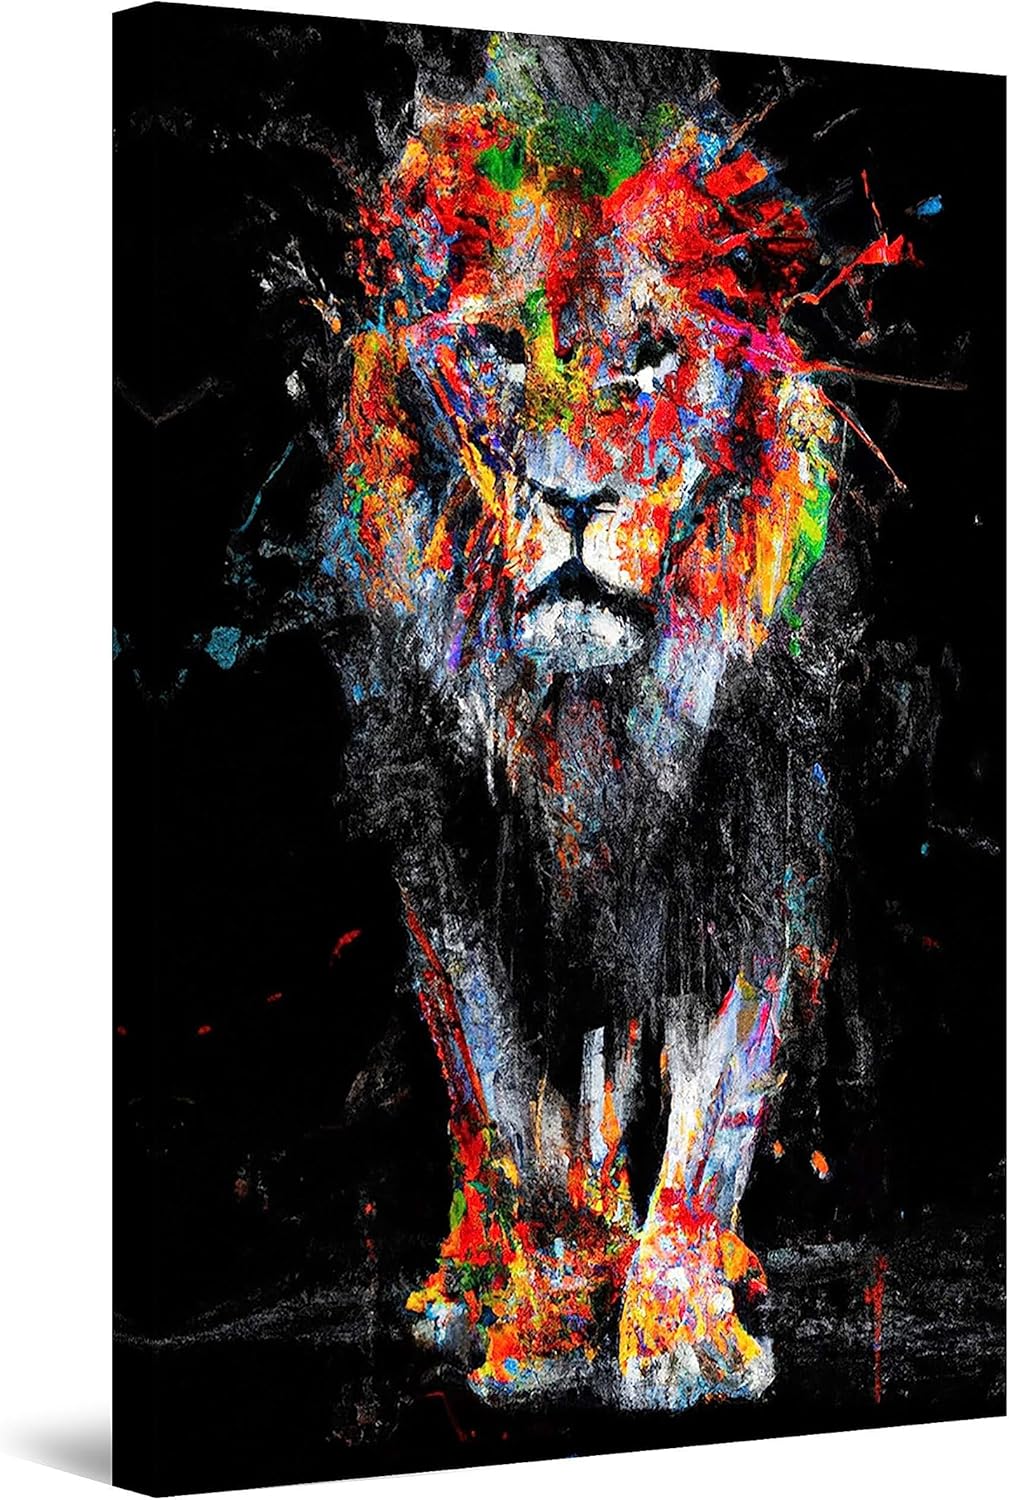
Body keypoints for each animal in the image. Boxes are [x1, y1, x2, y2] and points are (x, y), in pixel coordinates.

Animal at [321, 34, 906, 1412]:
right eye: (492, 348)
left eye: (646, 354)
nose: (573, 498)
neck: (593, 716)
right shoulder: (462, 869)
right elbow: (511, 1108)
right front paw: (544, 1326)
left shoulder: (756, 849)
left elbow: (715, 1110)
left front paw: (681, 1327)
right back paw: (485, 1282)